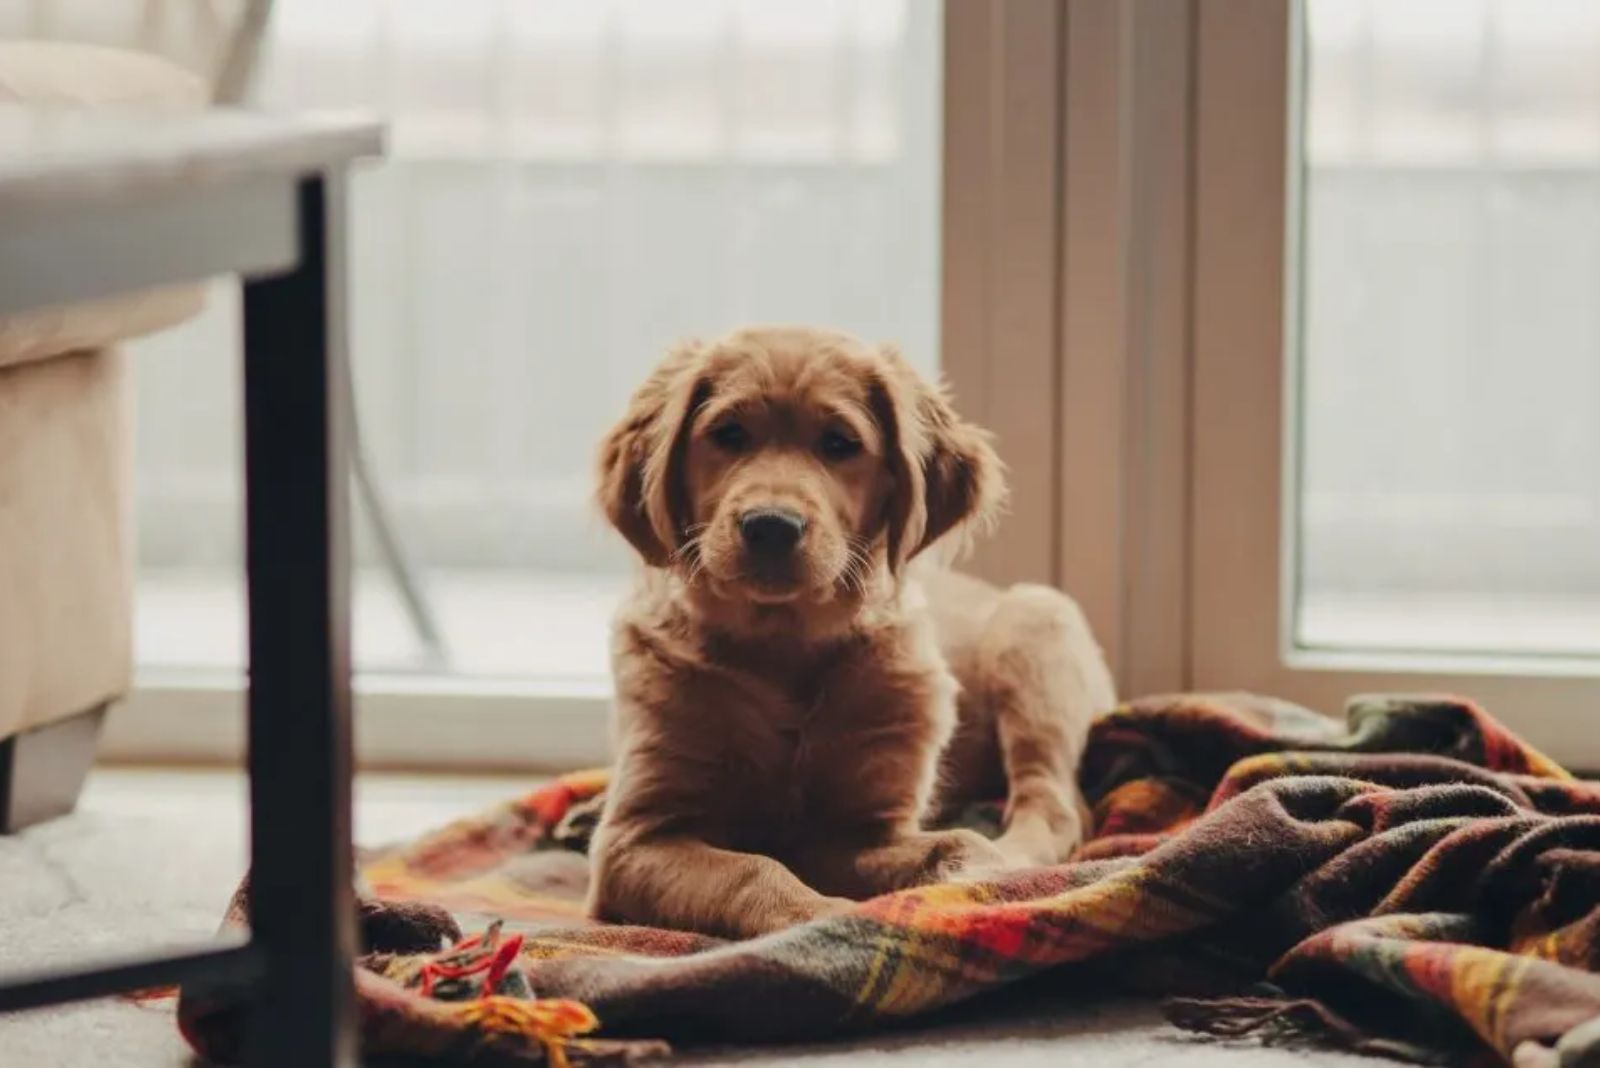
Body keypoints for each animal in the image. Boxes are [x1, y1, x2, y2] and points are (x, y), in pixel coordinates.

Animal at [588, 322, 1113, 933]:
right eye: (728, 434)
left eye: (838, 443)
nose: (771, 526)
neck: (783, 645)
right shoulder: (636, 837)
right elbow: (750, 869)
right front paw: (819, 915)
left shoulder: (861, 827)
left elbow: (954, 842)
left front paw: (978, 877)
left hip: (1037, 628)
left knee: (1055, 802)